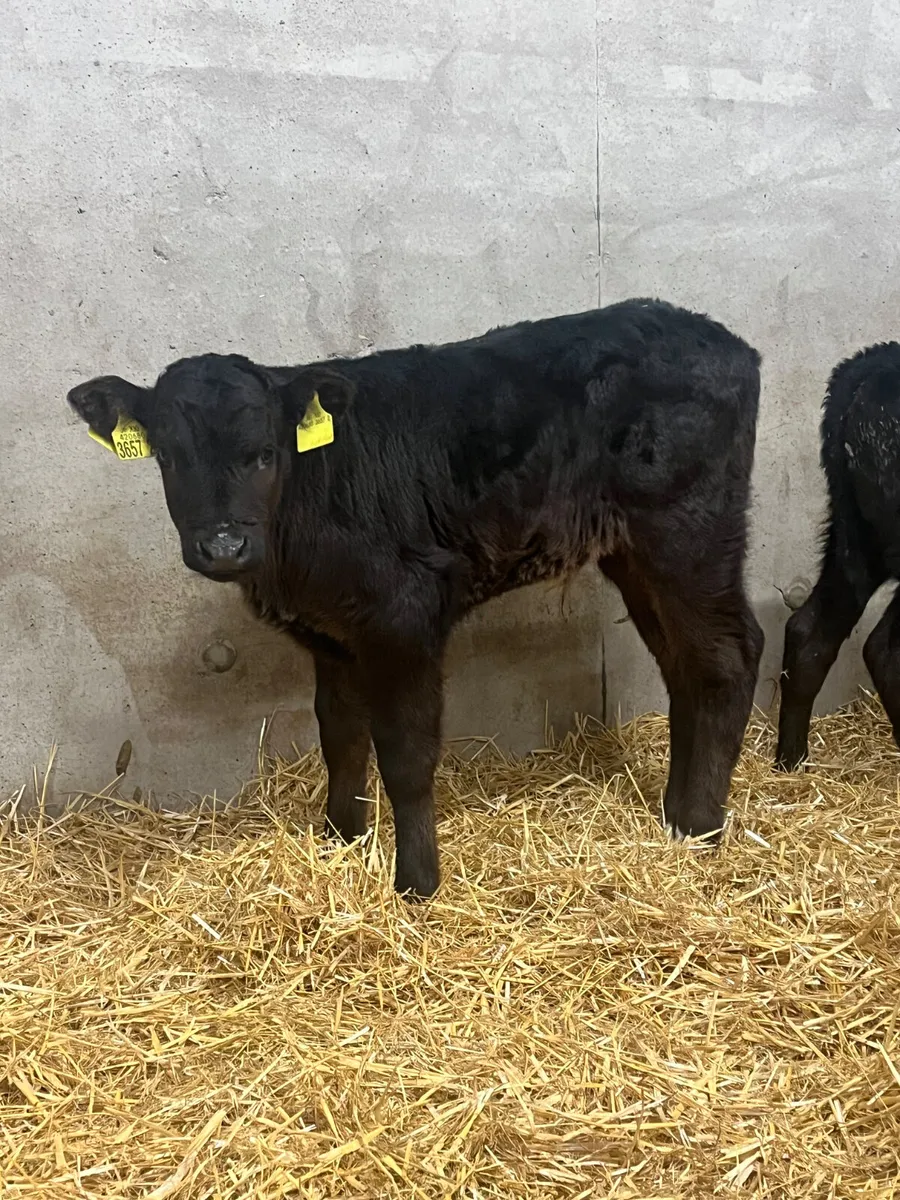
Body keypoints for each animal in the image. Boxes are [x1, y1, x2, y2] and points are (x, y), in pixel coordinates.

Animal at [68, 299, 764, 898]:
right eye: (168, 458)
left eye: (264, 453)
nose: (221, 546)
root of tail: (717, 336)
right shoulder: (331, 633)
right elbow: (339, 735)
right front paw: (341, 840)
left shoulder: (404, 616)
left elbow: (405, 753)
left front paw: (417, 884)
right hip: (635, 552)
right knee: (684, 665)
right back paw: (675, 814)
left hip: (689, 531)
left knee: (728, 655)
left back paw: (701, 825)